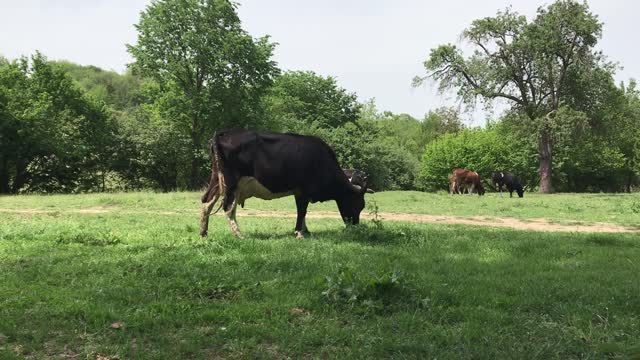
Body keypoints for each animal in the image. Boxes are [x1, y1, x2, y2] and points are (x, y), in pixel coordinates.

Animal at [199, 130, 370, 239]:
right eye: (358, 205)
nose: (355, 226)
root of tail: (223, 134)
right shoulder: (303, 190)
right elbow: (302, 211)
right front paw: (299, 233)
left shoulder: (298, 192)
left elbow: (302, 212)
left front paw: (305, 231)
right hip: (233, 183)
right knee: (228, 208)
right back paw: (239, 235)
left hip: (217, 180)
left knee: (207, 202)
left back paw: (203, 232)